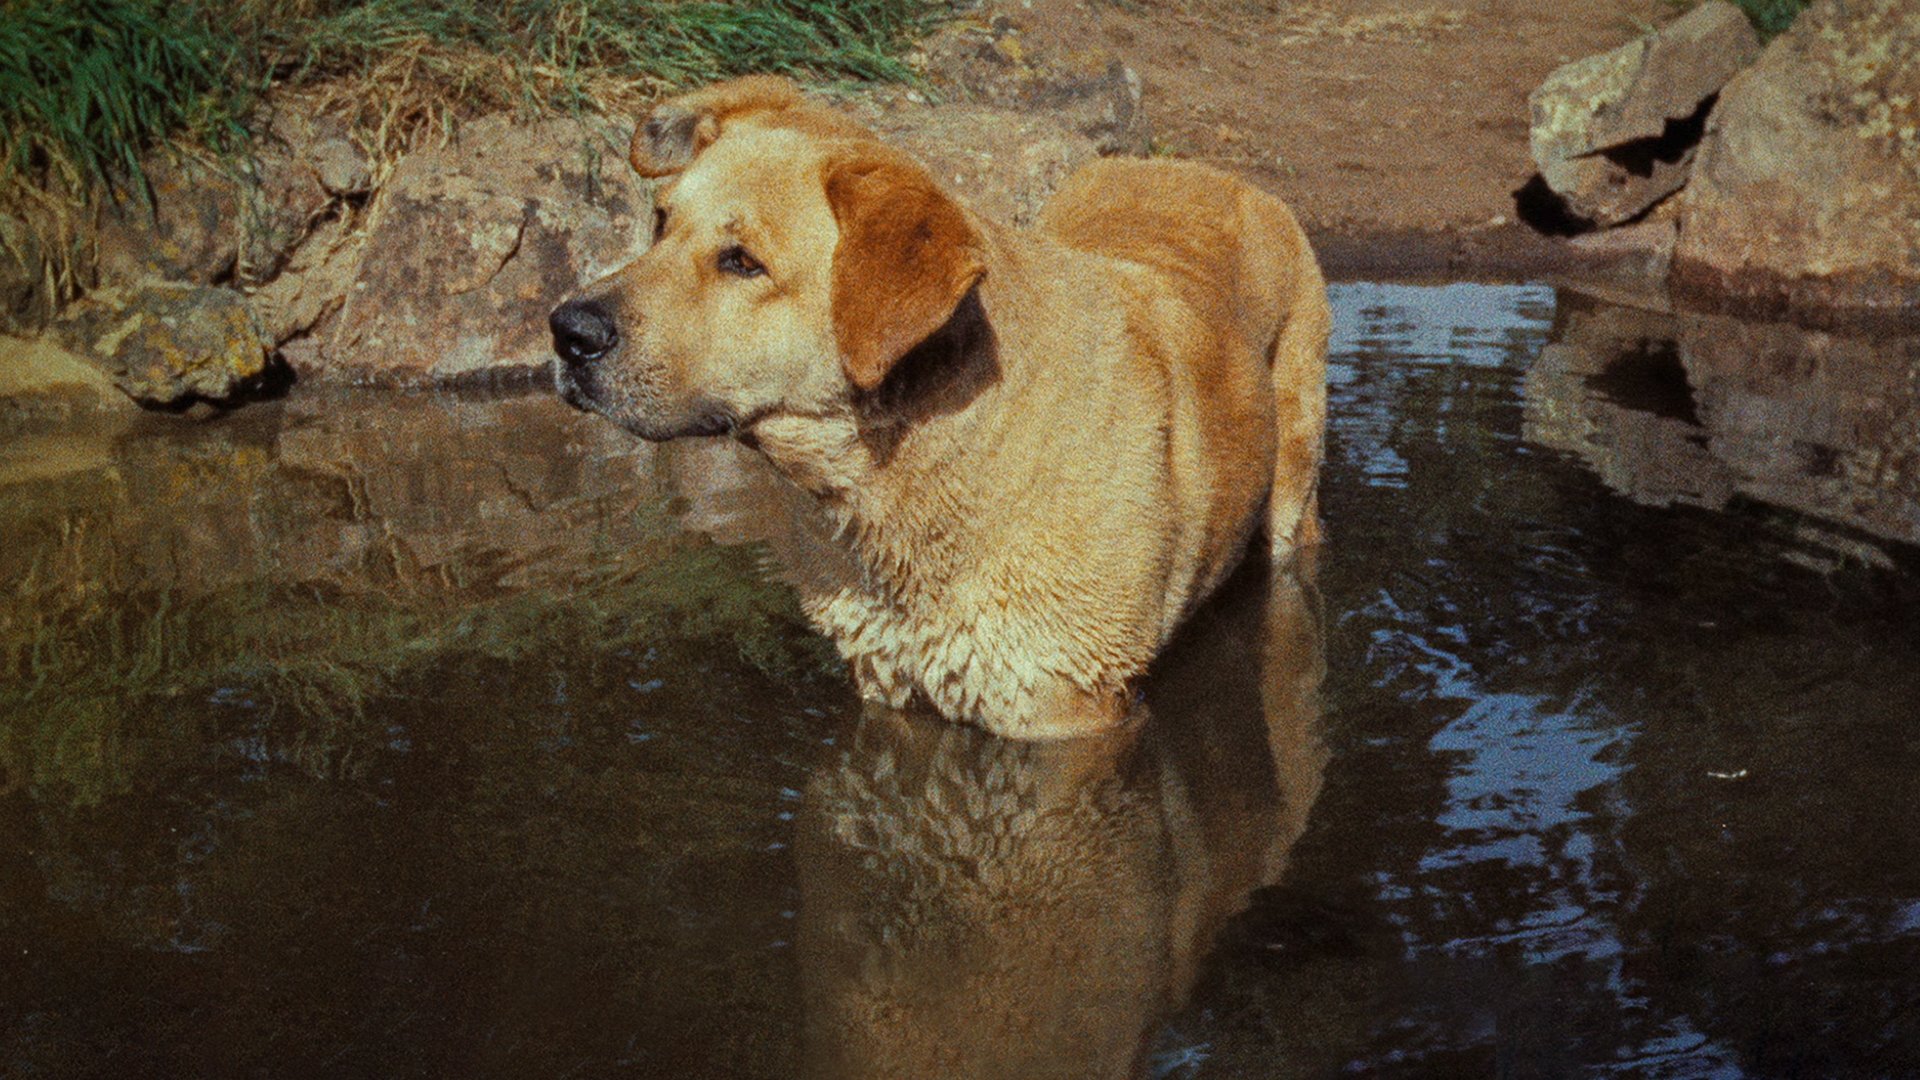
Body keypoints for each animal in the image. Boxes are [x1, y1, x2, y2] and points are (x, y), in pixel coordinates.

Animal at [556, 71, 1328, 734]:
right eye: (659, 224)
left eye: (742, 261)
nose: (567, 331)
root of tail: (1214, 172)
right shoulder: (887, 677)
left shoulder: (1064, 704)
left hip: (1293, 481)